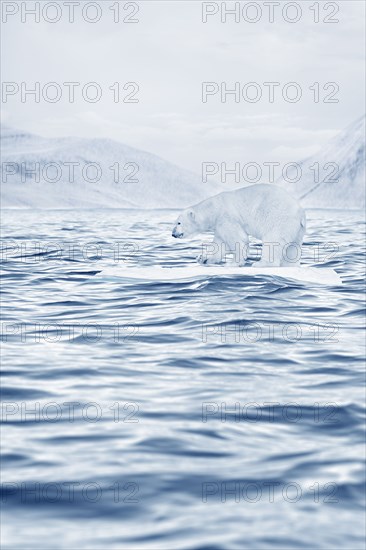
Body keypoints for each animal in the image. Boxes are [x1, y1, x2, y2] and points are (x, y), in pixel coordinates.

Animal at [172, 184, 306, 268]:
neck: (213, 208)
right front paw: (203, 258)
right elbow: (220, 244)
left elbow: (238, 239)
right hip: (296, 230)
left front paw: (232, 263)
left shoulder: (226, 217)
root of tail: (300, 213)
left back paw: (261, 264)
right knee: (293, 247)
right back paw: (289, 265)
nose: (173, 234)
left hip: (279, 220)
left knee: (273, 241)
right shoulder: (219, 225)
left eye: (178, 222)